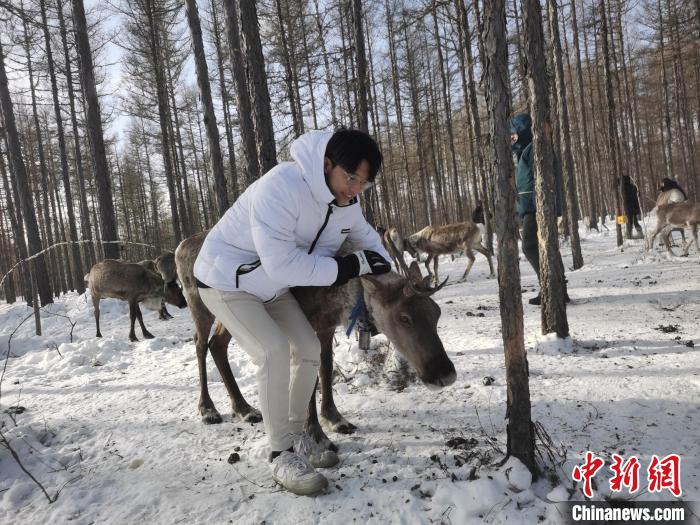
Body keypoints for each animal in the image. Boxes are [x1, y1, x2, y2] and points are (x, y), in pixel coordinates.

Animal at [174, 231, 456, 452]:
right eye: (404, 317)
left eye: (436, 312)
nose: (445, 374)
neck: (337, 298)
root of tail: (180, 247)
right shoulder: (304, 325)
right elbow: (311, 382)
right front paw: (315, 434)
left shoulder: (325, 327)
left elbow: (326, 369)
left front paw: (335, 418)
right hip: (199, 303)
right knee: (200, 343)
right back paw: (208, 409)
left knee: (217, 344)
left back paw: (244, 409)